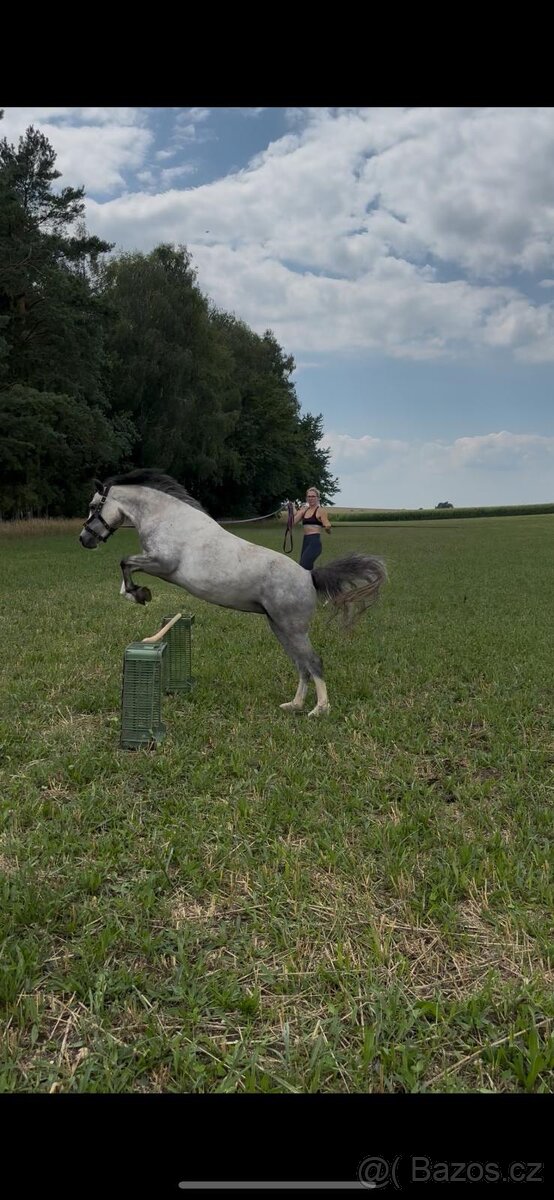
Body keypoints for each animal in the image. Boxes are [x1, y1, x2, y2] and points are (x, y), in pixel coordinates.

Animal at [79, 469, 387, 716]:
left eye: (93, 505)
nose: (84, 540)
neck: (168, 519)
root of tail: (309, 575)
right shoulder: (154, 563)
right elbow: (125, 573)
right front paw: (137, 594)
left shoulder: (162, 564)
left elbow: (125, 562)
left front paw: (139, 593)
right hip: (279, 627)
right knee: (301, 665)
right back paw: (295, 705)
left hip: (293, 628)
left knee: (313, 662)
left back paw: (319, 709)